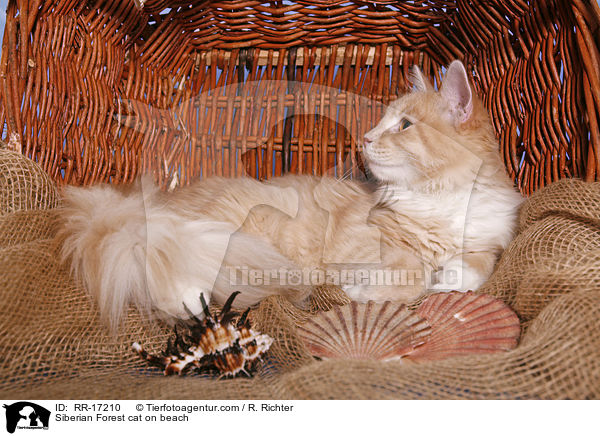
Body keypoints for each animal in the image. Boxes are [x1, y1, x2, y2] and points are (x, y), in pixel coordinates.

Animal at [58, 59, 524, 328]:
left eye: (404, 125)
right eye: (382, 121)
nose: (366, 139)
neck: (439, 199)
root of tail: (148, 207)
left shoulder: (491, 237)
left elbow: (476, 265)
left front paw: (453, 277)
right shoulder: (368, 245)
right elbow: (411, 274)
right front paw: (369, 292)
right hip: (225, 234)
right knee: (166, 268)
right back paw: (193, 304)